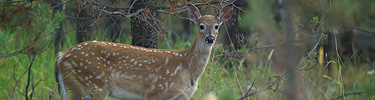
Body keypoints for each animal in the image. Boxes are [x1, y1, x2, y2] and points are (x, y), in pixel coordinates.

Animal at [54, 3, 234, 100]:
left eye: (217, 26)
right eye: (201, 26)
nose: (210, 39)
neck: (186, 68)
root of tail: (60, 56)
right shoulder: (157, 92)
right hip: (93, 83)